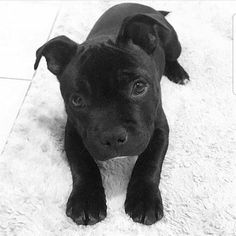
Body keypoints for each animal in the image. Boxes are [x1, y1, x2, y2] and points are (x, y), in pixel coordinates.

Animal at [34, 2, 189, 226]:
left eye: (139, 87)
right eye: (77, 100)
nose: (113, 137)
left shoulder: (159, 128)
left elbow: (150, 161)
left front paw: (144, 200)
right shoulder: (74, 132)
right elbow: (82, 162)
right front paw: (87, 200)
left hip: (173, 42)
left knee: (172, 56)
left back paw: (178, 73)